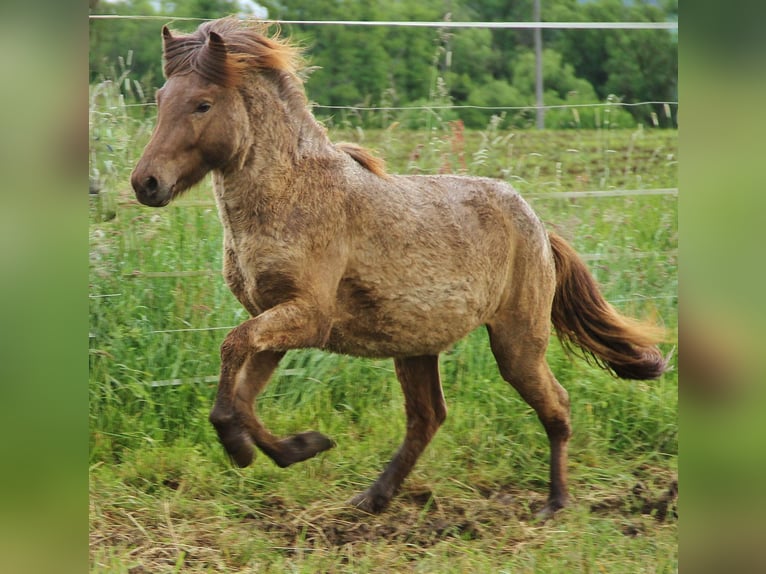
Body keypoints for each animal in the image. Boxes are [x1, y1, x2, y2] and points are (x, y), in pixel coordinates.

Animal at [130, 19, 664, 520]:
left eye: (202, 104)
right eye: (160, 98)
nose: (146, 182)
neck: (292, 195)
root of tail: (538, 226)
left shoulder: (307, 317)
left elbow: (231, 355)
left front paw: (259, 449)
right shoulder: (275, 319)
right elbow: (242, 394)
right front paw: (296, 448)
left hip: (517, 343)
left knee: (555, 404)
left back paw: (555, 502)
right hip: (416, 348)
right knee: (428, 417)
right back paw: (373, 497)